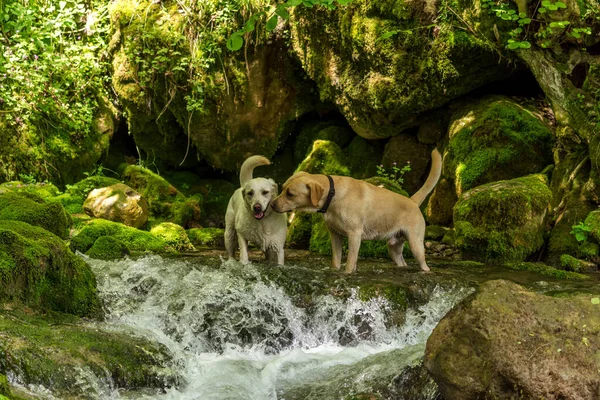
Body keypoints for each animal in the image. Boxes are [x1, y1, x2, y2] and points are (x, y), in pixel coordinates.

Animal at [272, 148, 440, 274]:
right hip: (394, 248)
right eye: (283, 189)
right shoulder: (335, 235)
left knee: (424, 264)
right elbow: (336, 261)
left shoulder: (354, 235)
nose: (272, 205)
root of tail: (412, 201)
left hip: (416, 245)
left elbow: (349, 262)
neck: (334, 196)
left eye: (290, 194)